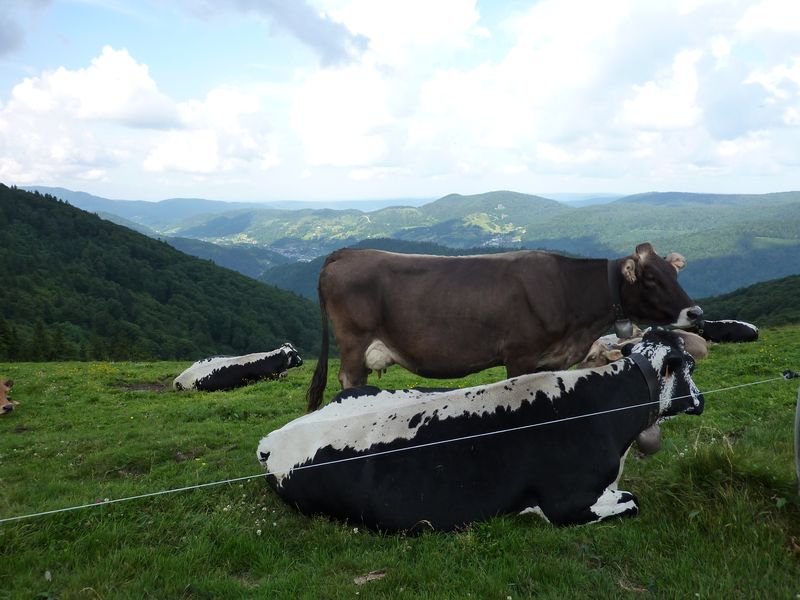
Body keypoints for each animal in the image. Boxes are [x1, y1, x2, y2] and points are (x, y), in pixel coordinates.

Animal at [306, 241, 700, 410]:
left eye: (674, 272)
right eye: (651, 278)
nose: (694, 312)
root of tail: (345, 253)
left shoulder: (547, 360)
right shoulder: (520, 355)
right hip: (354, 344)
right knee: (349, 381)